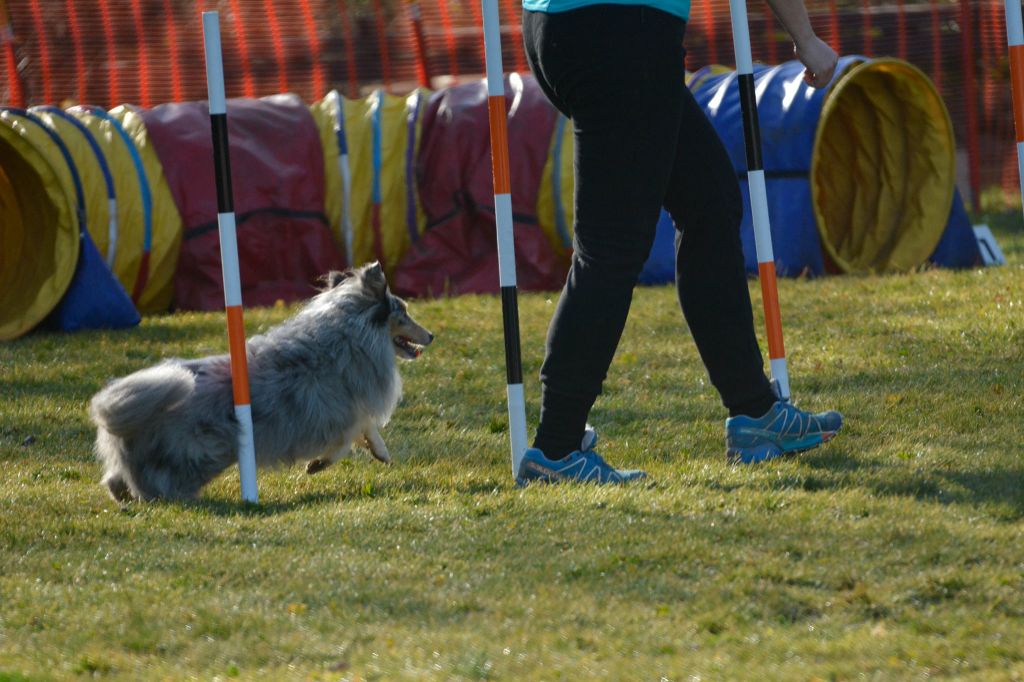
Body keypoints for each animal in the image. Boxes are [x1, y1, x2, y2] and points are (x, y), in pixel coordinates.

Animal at [89, 260, 436, 499]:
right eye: (404, 312)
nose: (432, 335)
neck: (348, 329)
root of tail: (126, 415)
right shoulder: (339, 412)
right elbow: (350, 437)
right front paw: (321, 464)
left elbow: (366, 429)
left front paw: (379, 452)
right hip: (201, 455)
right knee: (156, 484)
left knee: (116, 479)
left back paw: (123, 496)